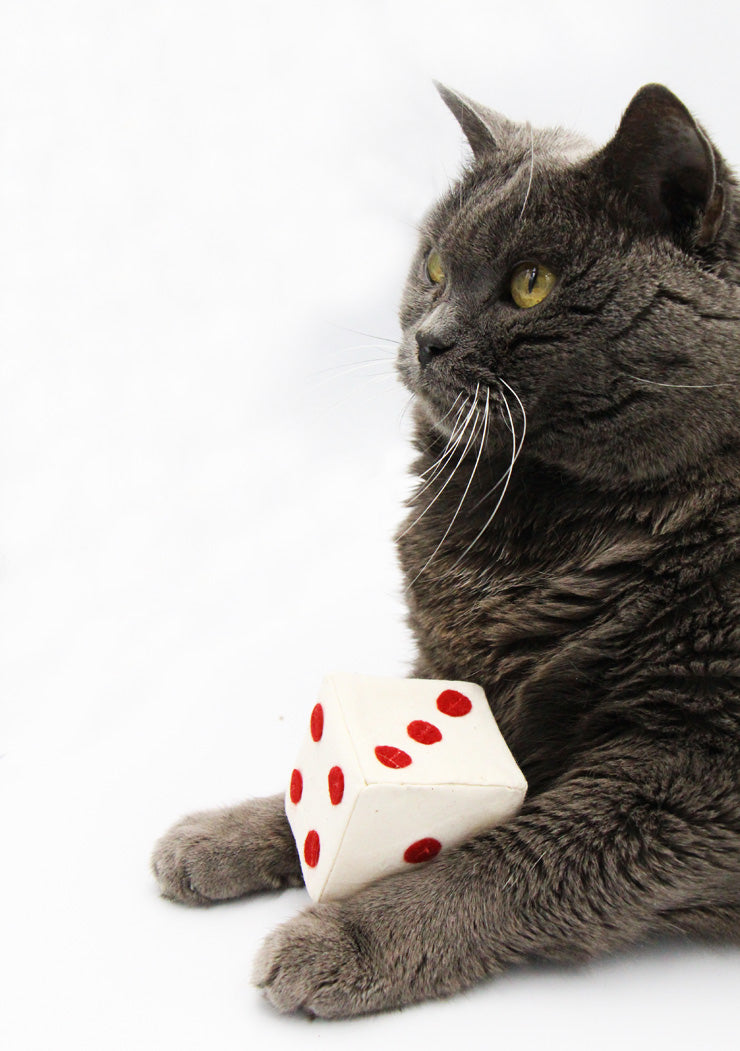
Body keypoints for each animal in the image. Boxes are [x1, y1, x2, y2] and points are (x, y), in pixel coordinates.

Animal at [150, 84, 740, 1017]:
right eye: (430, 266)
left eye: (531, 283)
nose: (427, 336)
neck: (533, 526)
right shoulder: (467, 674)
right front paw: (228, 832)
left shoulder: (697, 770)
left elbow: (512, 862)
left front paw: (345, 938)